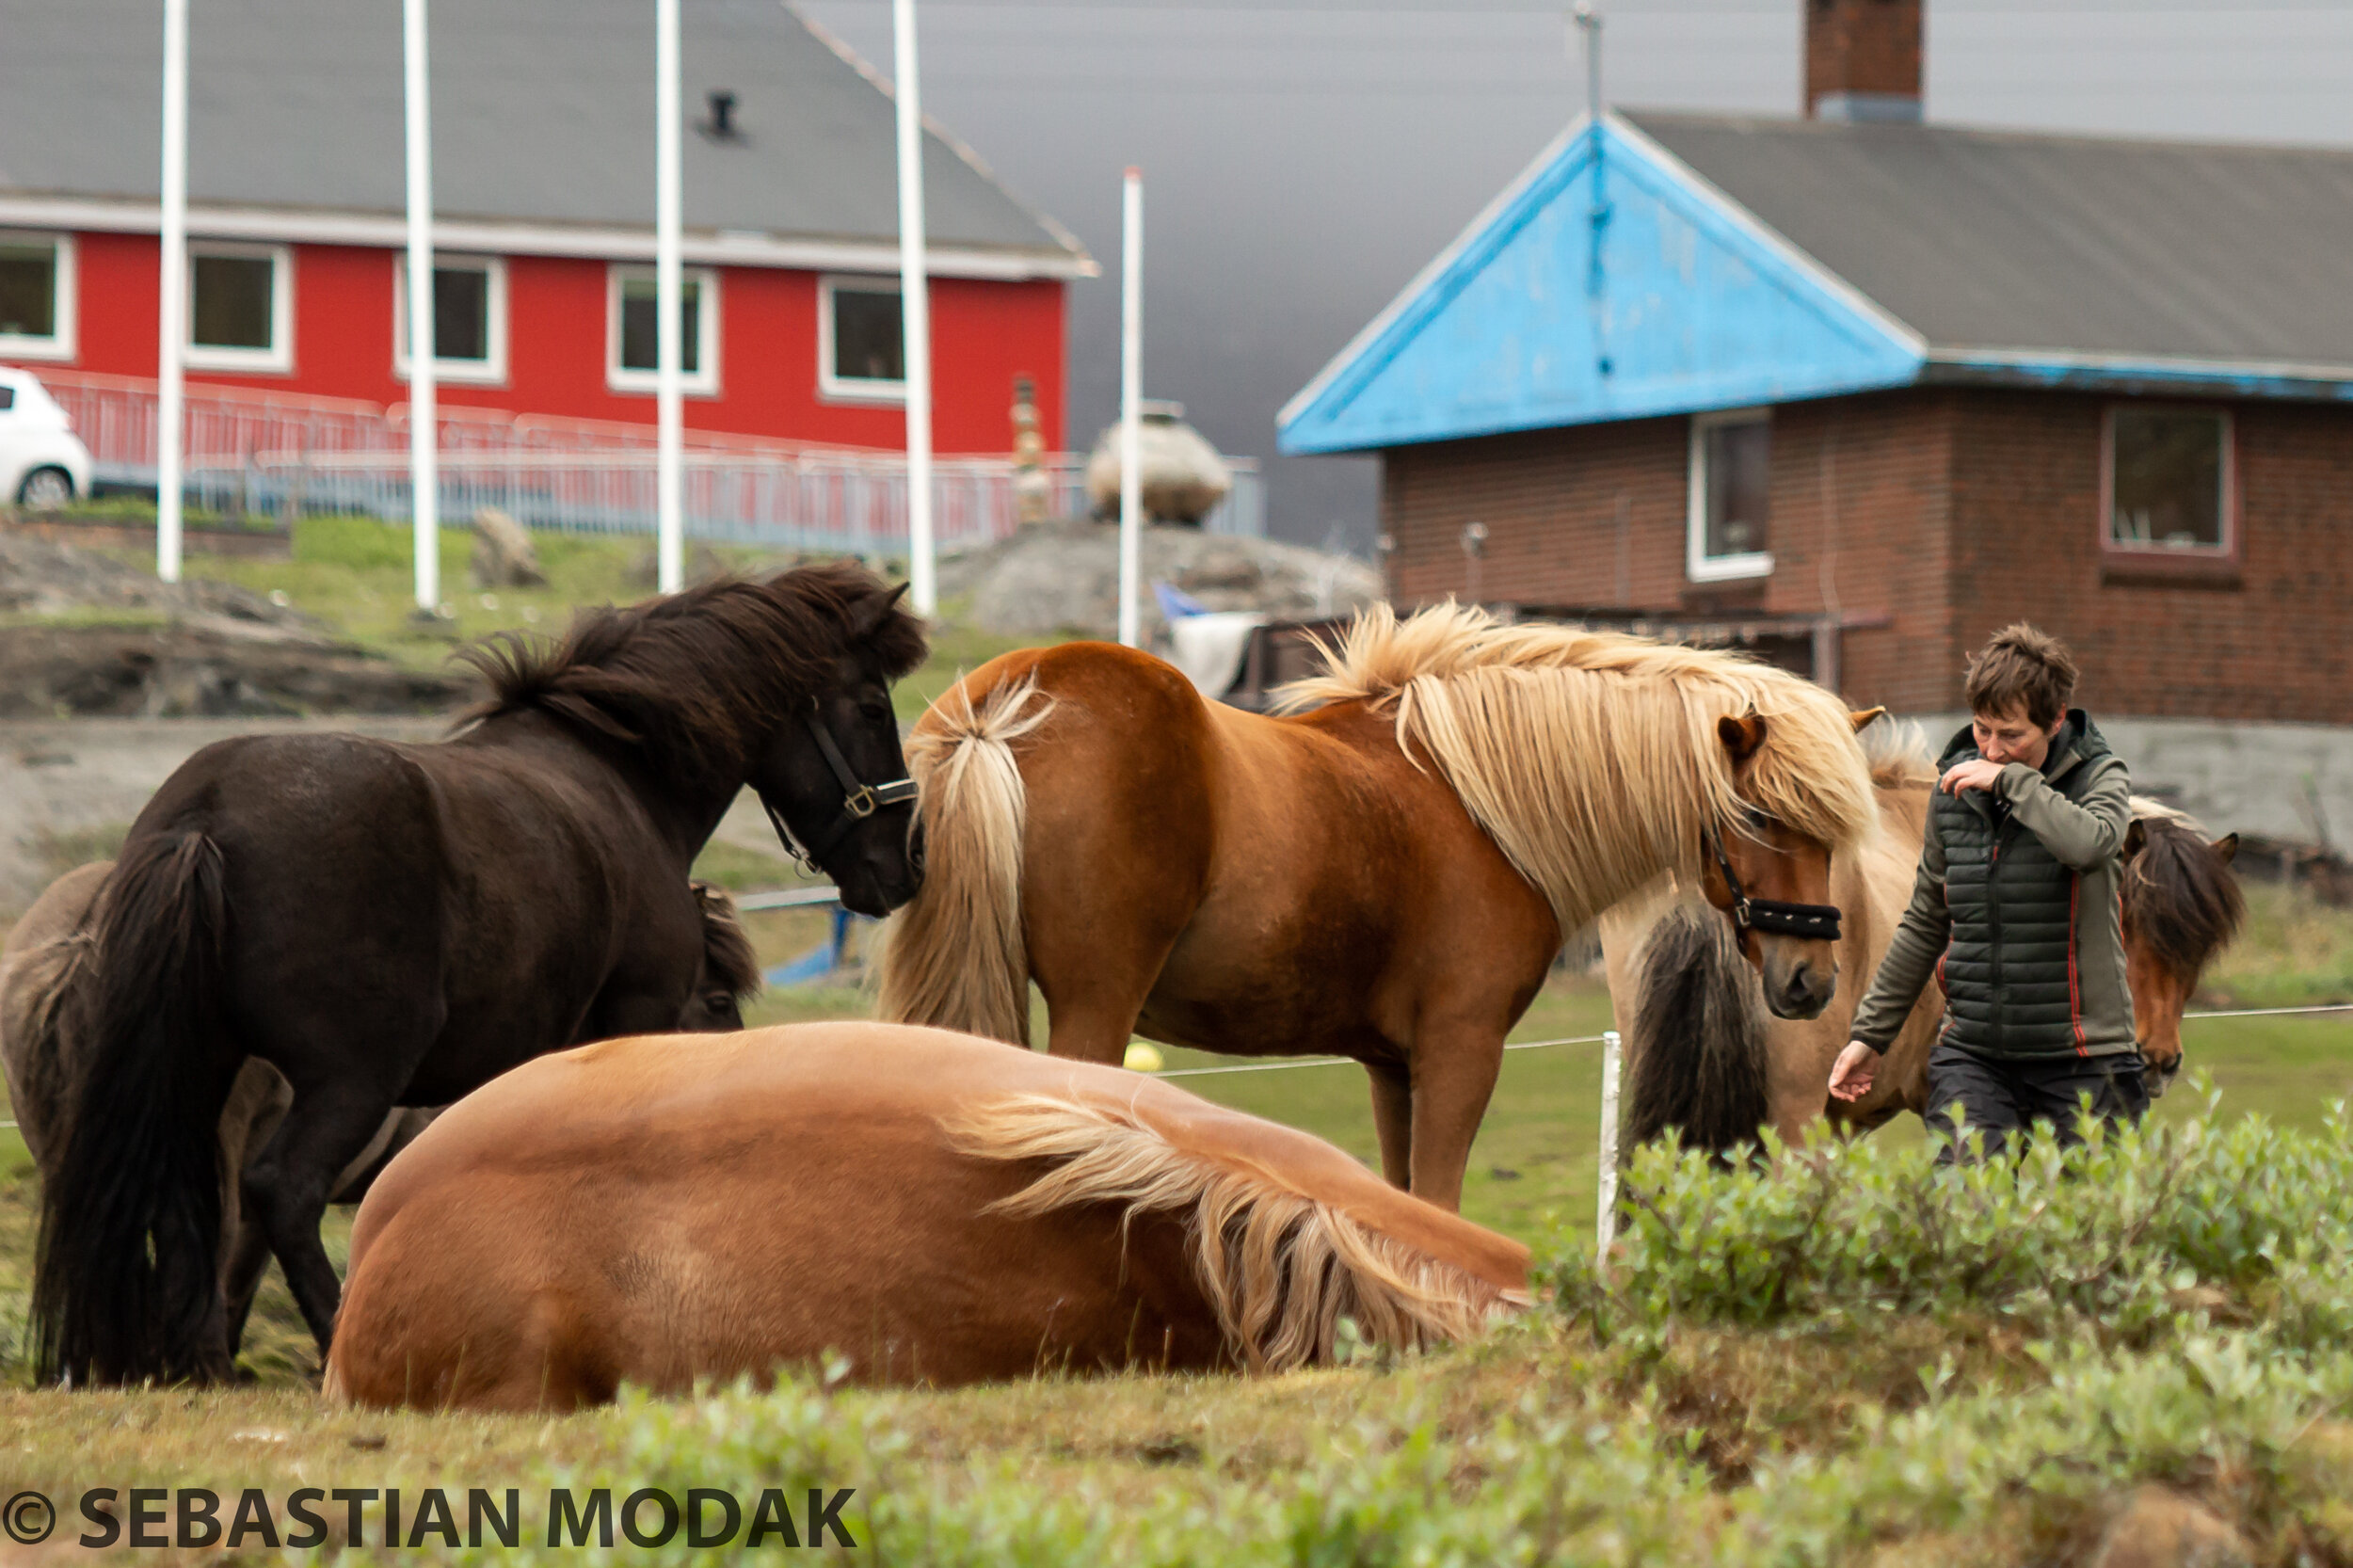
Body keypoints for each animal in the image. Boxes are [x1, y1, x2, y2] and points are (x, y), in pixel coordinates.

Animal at [875, 602, 1882, 1200]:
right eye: (1759, 815)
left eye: (1833, 827)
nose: (1809, 981)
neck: (1477, 802)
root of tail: (1005, 706)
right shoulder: (1461, 1052)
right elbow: (1440, 1200)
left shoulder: (1393, 1067)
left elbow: (1404, 1201)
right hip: (1095, 1012)